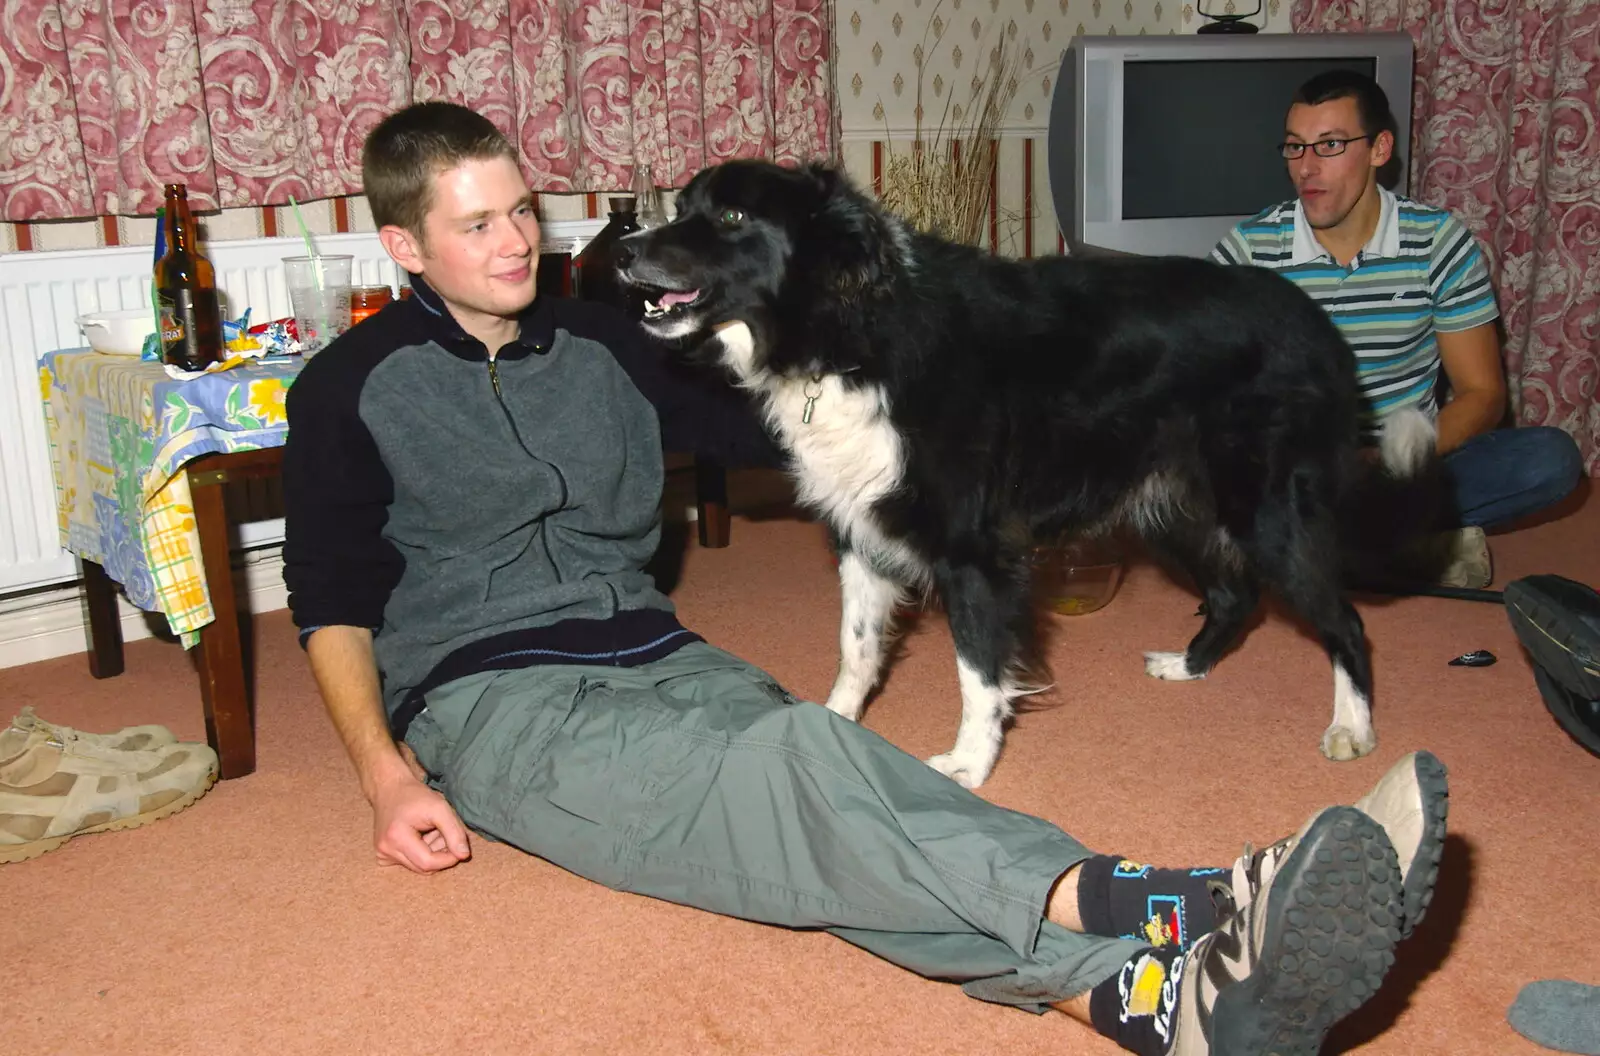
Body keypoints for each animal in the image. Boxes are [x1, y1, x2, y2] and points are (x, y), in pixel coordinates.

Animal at [614, 156, 1440, 784]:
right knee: (1237, 596)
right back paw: (1191, 667)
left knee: (1344, 620)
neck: (849, 331)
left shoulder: (973, 550)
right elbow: (857, 645)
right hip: (1174, 506)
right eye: (680, 207)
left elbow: (978, 669)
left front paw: (970, 766)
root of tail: (1317, 325)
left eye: (730, 218)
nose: (624, 251)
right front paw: (834, 723)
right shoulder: (862, 529)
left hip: (1266, 509)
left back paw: (1353, 728)